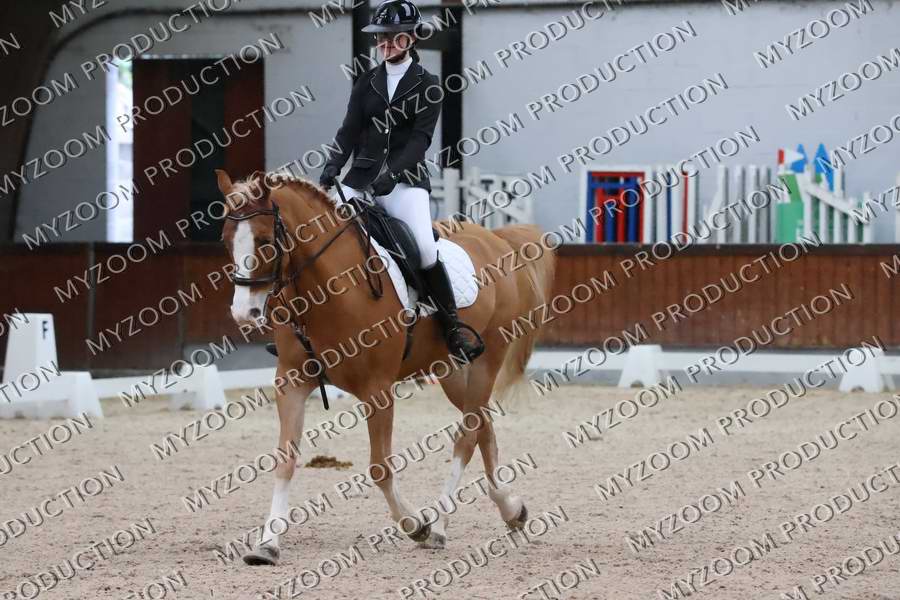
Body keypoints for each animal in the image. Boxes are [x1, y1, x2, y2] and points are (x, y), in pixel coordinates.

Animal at [215, 169, 555, 565]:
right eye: (226, 241)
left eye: (266, 240)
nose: (244, 314)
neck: (327, 288)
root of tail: (495, 238)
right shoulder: (291, 381)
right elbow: (285, 459)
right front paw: (267, 544)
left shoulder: (377, 389)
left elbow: (380, 467)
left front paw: (415, 524)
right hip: (454, 369)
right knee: (483, 426)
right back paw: (511, 509)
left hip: (489, 359)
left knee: (468, 435)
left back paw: (439, 526)